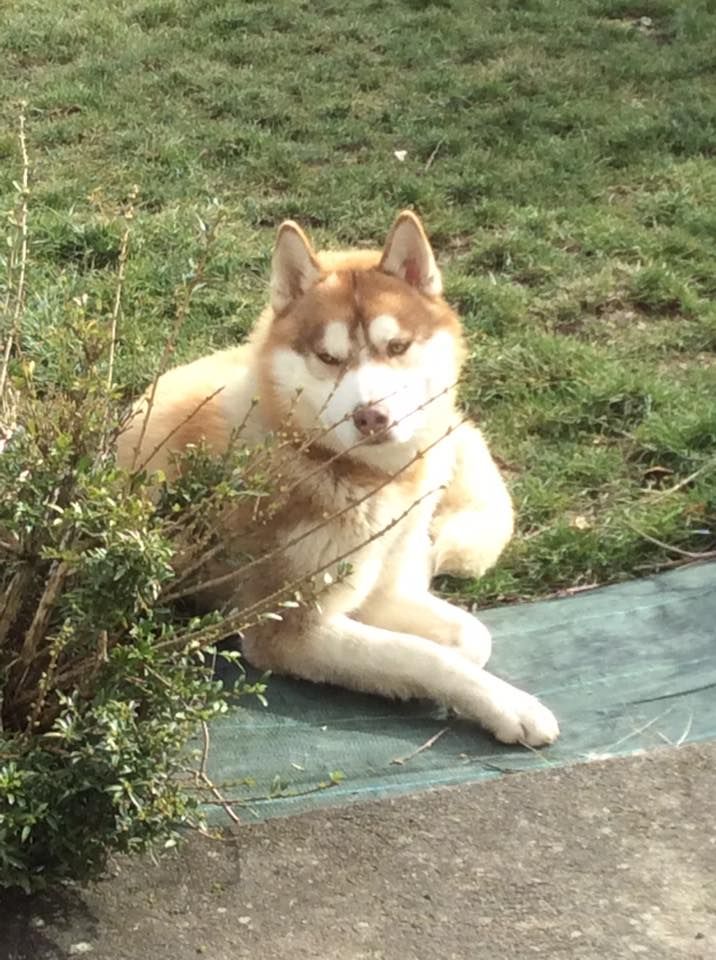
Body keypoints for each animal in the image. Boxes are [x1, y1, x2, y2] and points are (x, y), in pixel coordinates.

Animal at [120, 214, 560, 748]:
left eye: (397, 347)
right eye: (329, 359)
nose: (371, 416)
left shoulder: (379, 590)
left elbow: (471, 637)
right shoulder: (285, 630)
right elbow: (423, 656)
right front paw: (508, 706)